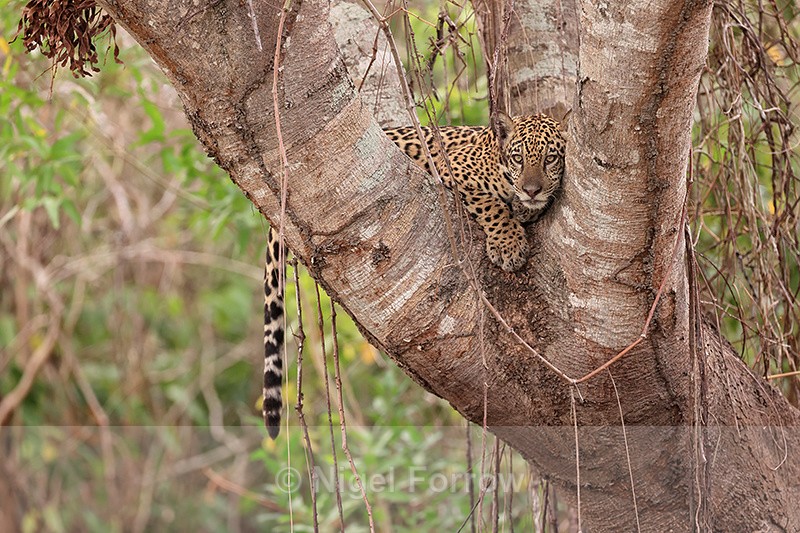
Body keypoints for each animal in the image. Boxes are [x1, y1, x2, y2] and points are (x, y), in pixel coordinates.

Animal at [262, 113, 569, 438]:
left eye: (550, 159)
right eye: (518, 158)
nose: (532, 190)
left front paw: (525, 211)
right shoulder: (451, 169)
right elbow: (491, 205)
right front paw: (508, 244)